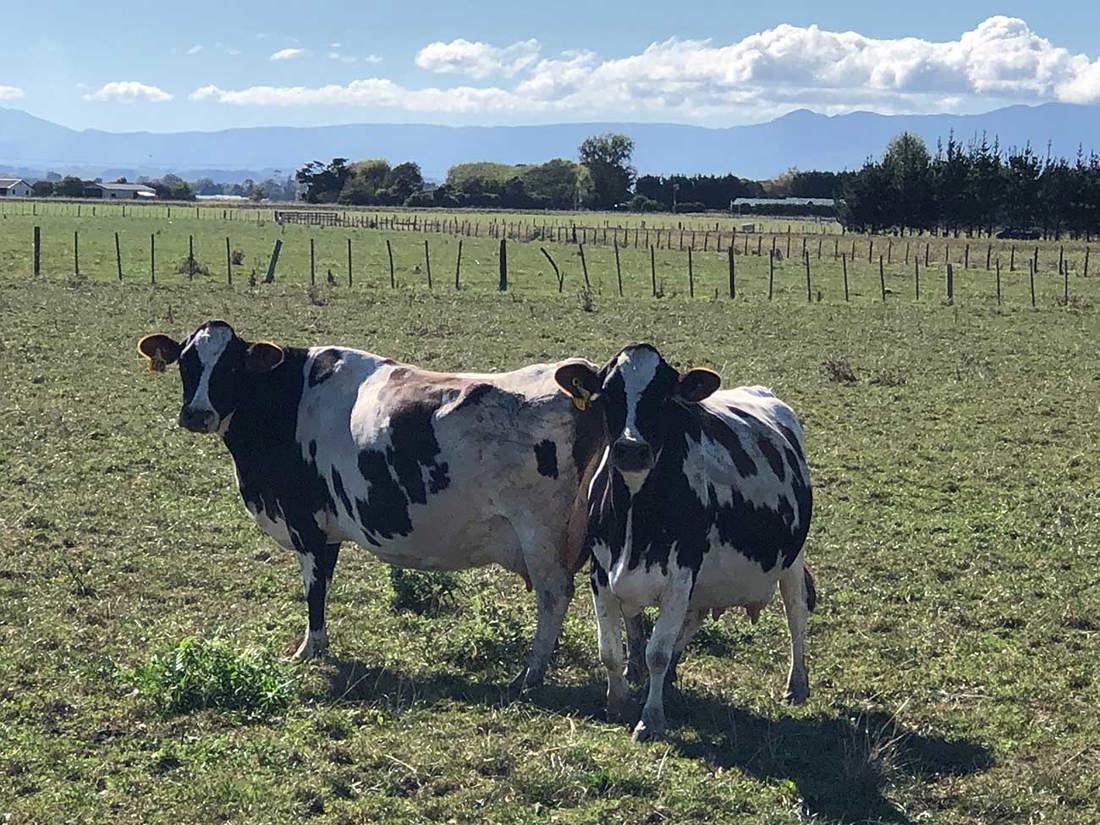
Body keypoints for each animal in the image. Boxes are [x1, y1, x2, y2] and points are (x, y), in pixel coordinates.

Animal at [137, 320, 602, 691]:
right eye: (185, 363)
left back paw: (530, 674)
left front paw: (309, 648)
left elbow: (315, 589)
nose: (196, 414)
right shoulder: (325, 529)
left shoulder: (306, 523)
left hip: (541, 538)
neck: (287, 400)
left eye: (231, 367)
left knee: (554, 596)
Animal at [554, 343, 815, 741]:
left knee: (796, 613)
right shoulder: (601, 572)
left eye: (664, 397)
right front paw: (618, 702)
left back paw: (797, 685)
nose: (631, 449)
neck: (635, 517)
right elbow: (611, 649)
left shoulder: (681, 572)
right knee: (689, 618)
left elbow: (657, 652)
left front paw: (650, 718)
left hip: (793, 559)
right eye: (608, 394)